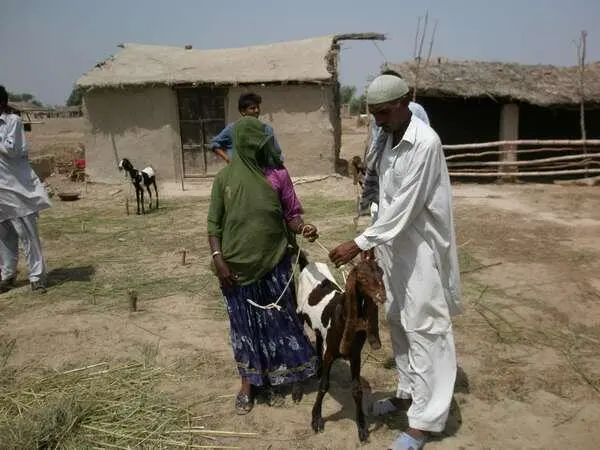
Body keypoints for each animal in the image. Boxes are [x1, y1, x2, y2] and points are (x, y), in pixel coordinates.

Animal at [295, 249, 386, 442]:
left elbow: (357, 390)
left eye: (381, 272)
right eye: (362, 278)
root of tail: (308, 264)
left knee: (318, 337)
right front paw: (316, 419)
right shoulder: (330, 352)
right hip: (299, 311)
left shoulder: (355, 354)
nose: (381, 296)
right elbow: (324, 385)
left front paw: (362, 428)